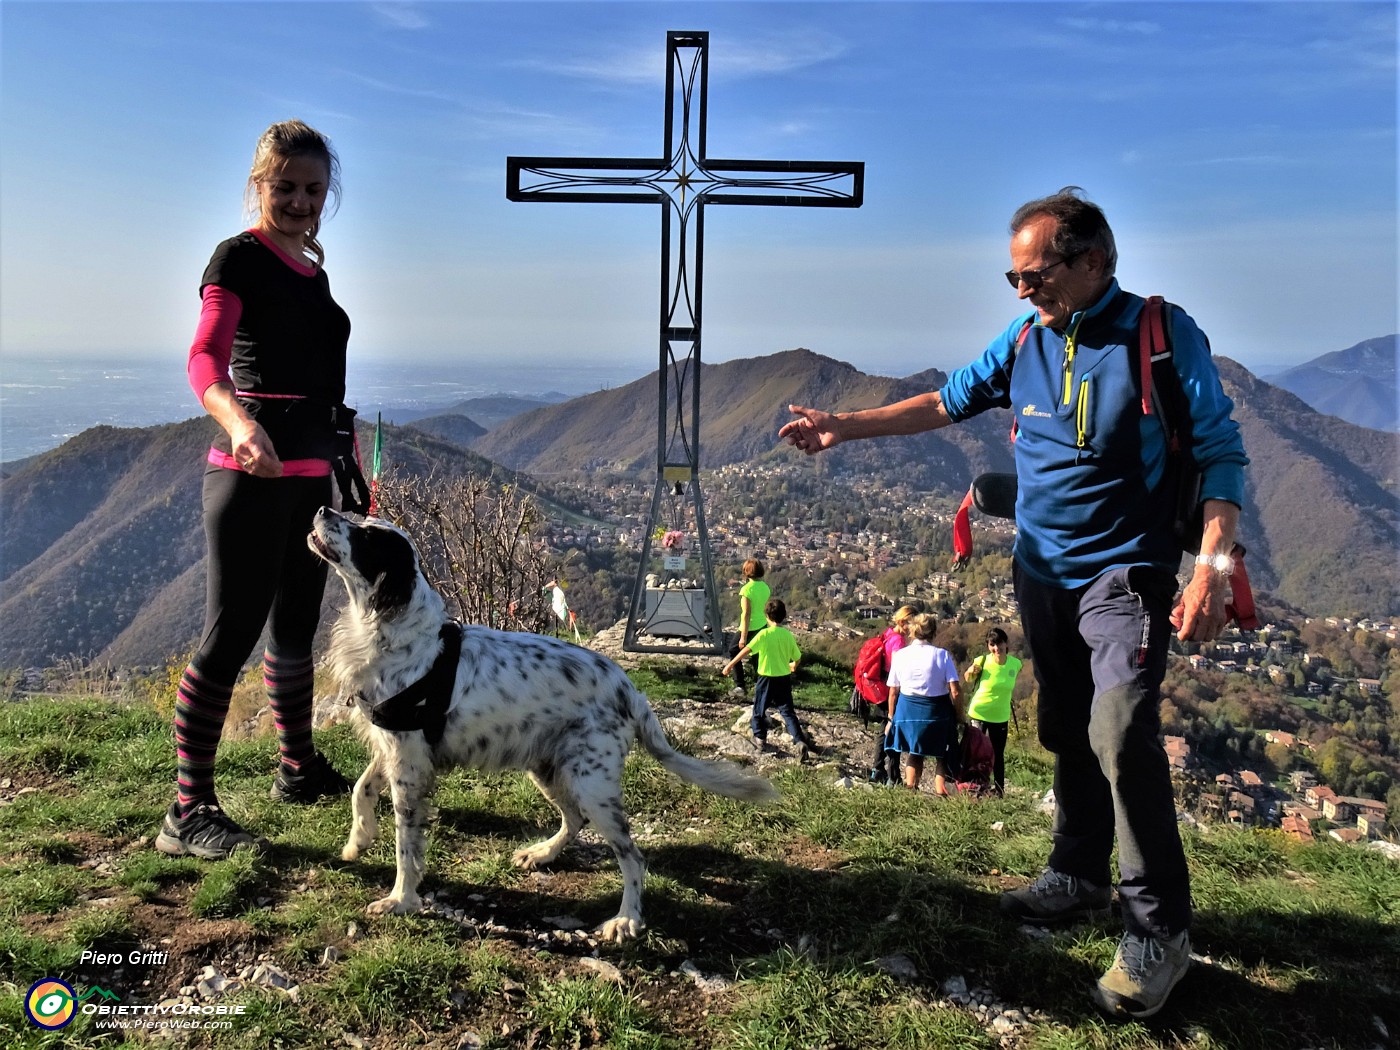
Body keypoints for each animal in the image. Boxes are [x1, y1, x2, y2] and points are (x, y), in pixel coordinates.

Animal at [305, 506, 778, 940]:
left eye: (367, 536)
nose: (324, 509)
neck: (396, 634)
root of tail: (628, 688)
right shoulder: (394, 747)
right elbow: (360, 789)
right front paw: (358, 840)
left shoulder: (409, 765)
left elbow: (406, 844)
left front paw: (400, 899)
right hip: (550, 768)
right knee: (574, 820)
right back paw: (542, 854)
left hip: (592, 782)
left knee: (632, 855)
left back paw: (626, 918)